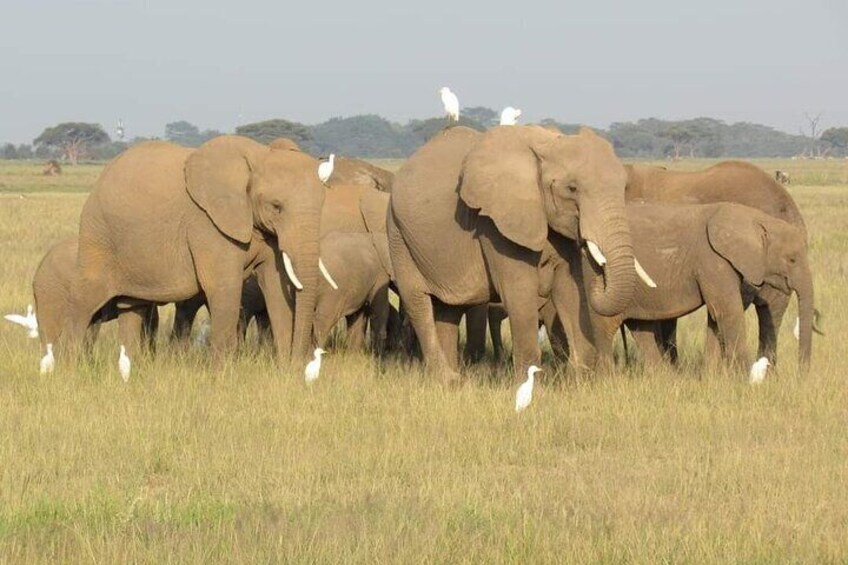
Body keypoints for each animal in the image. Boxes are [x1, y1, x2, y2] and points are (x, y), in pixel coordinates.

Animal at [64, 134, 334, 360]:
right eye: (276, 206)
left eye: (322, 204)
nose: (302, 359)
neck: (258, 155)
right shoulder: (207, 224)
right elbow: (224, 287)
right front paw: (223, 375)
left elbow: (275, 286)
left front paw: (286, 370)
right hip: (98, 235)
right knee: (85, 301)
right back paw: (72, 367)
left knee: (132, 306)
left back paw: (131, 368)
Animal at [388, 125, 652, 382]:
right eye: (572, 188)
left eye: (625, 188)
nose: (600, 270)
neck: (547, 143)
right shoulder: (494, 225)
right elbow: (519, 293)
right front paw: (531, 389)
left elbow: (569, 288)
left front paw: (581, 382)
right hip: (398, 235)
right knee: (418, 302)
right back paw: (447, 379)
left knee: (448, 309)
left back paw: (455, 379)